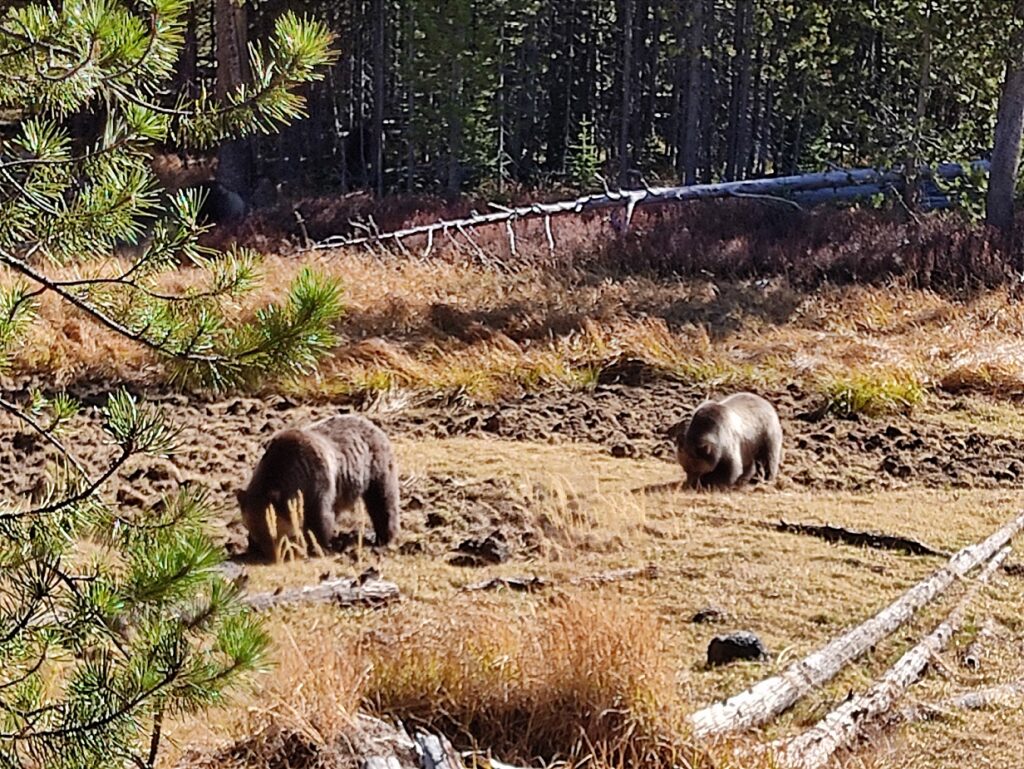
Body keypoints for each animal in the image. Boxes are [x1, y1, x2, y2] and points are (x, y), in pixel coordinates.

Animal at [235, 415, 399, 561]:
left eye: (273, 533)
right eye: (255, 532)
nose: (271, 556)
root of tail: (373, 425)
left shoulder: (317, 480)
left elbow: (320, 517)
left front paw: (320, 546)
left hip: (374, 468)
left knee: (382, 501)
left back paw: (385, 536)